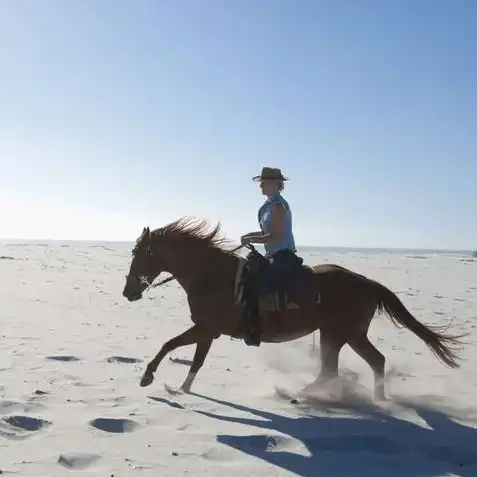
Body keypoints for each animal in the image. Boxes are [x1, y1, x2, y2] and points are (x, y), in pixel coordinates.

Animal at [122, 218, 464, 400]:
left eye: (139, 253)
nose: (128, 292)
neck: (210, 275)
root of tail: (367, 282)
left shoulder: (206, 328)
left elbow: (169, 344)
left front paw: (147, 377)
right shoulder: (208, 331)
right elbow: (195, 361)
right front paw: (182, 388)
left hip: (343, 334)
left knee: (346, 367)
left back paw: (308, 395)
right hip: (340, 334)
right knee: (358, 364)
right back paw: (372, 398)